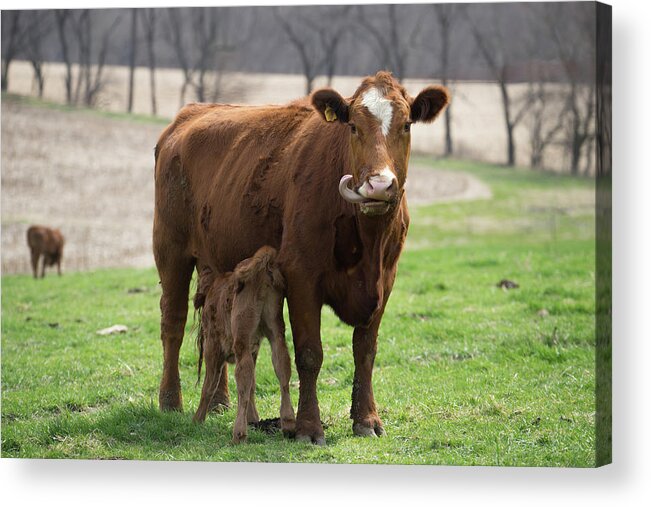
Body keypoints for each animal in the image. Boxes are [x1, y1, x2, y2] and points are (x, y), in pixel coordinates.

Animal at [192, 244, 296, 442]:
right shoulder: (254, 347)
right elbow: (254, 385)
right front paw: (254, 419)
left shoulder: (213, 346)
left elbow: (209, 384)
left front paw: (198, 420)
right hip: (275, 331)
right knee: (282, 370)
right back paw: (288, 424)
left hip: (240, 340)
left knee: (243, 378)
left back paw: (238, 434)